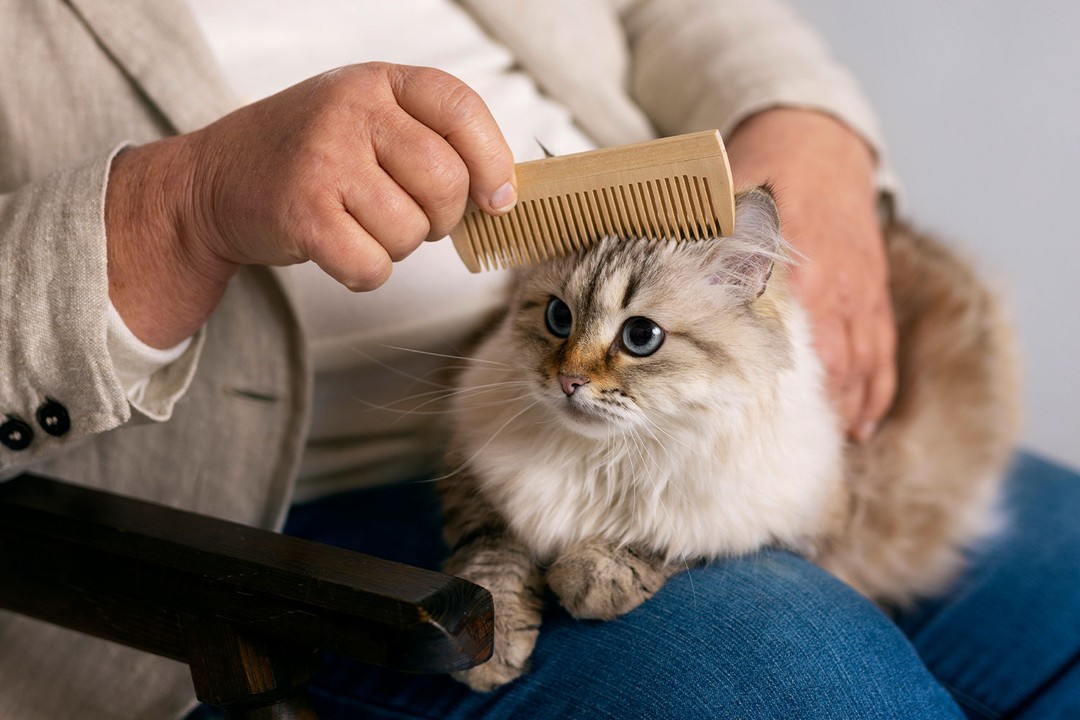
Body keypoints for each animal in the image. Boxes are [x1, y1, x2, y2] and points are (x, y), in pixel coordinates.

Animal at [434, 187, 1015, 690]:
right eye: (559, 317)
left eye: (640, 337)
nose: (568, 382)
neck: (607, 455)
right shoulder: (476, 477)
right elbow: (491, 564)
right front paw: (488, 654)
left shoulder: (793, 515)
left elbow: (669, 539)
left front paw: (589, 579)